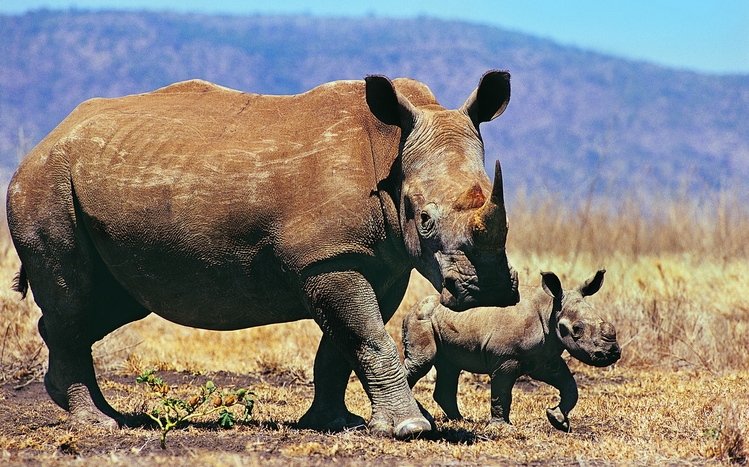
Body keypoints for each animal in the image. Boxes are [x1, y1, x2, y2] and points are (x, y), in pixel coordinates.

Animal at [6, 71, 520, 438]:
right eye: (424, 218)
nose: (488, 290)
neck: (393, 151)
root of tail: (46, 140)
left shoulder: (376, 262)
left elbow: (341, 344)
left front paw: (335, 424)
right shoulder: (329, 257)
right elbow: (368, 334)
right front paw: (411, 428)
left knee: (109, 304)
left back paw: (86, 406)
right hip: (46, 185)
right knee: (74, 298)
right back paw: (97, 422)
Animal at [402, 270, 620, 432]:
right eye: (576, 329)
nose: (611, 353)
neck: (551, 309)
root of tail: (409, 310)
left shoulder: (545, 358)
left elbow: (569, 385)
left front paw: (556, 419)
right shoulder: (505, 358)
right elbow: (502, 392)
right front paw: (503, 428)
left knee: (449, 367)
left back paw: (462, 421)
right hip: (421, 320)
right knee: (423, 362)